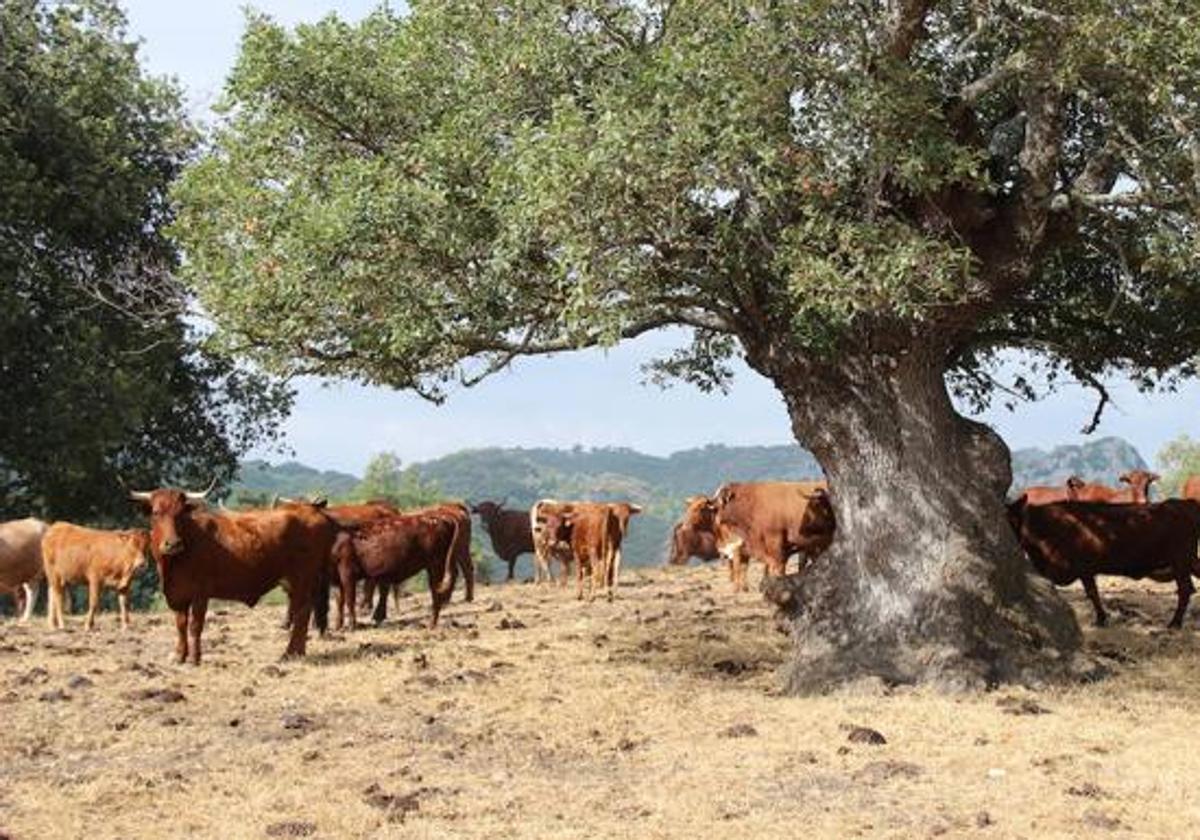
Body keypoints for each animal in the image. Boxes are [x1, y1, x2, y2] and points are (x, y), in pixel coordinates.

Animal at [338, 508, 468, 628]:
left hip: (436, 565)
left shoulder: (348, 574)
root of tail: (443, 518)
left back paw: (431, 623)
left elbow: (349, 598)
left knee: (436, 591)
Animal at [1008, 494, 1200, 628]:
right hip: (1189, 561)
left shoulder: (1082, 567)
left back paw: (1175, 623)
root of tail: (1185, 503)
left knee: (1185, 589)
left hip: (1180, 561)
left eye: (1011, 518)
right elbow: (1090, 592)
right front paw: (1101, 619)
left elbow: (1091, 593)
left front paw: (1101, 619)